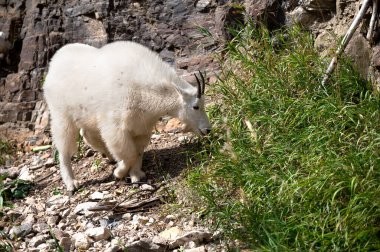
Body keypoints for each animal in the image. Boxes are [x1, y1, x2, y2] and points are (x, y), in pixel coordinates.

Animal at [43, 40, 214, 193]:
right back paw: (71, 183)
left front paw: (136, 175)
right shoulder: (116, 127)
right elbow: (129, 153)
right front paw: (119, 172)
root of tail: (54, 63)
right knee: (64, 148)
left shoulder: (141, 128)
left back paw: (109, 157)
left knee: (87, 134)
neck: (144, 90)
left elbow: (137, 152)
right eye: (195, 106)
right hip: (61, 115)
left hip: (87, 116)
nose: (207, 130)